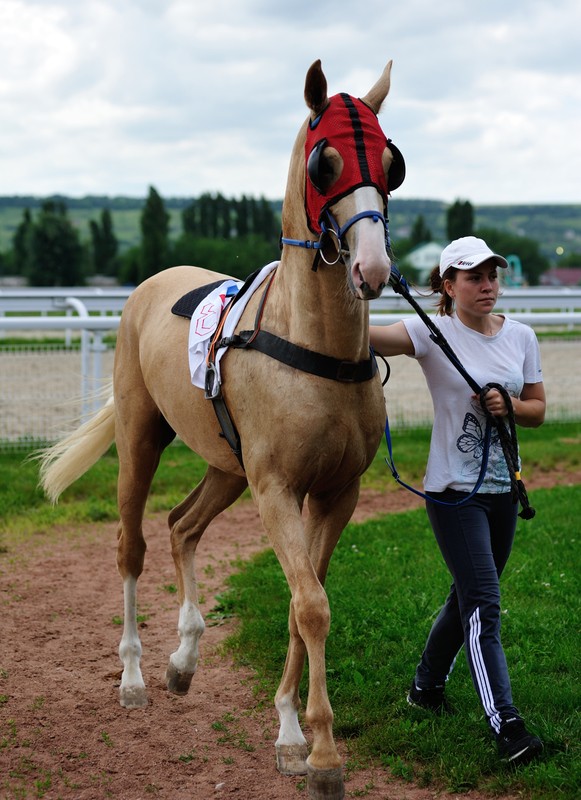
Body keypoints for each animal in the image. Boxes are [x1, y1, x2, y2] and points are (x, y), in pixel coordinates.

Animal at [39, 59, 404, 796]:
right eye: (325, 161)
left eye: (391, 161)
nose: (372, 267)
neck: (315, 345)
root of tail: (150, 286)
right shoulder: (276, 491)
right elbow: (311, 605)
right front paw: (322, 753)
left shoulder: (335, 493)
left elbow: (302, 602)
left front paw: (291, 734)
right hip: (143, 440)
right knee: (133, 547)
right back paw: (133, 675)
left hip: (225, 466)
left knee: (183, 526)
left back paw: (182, 659)